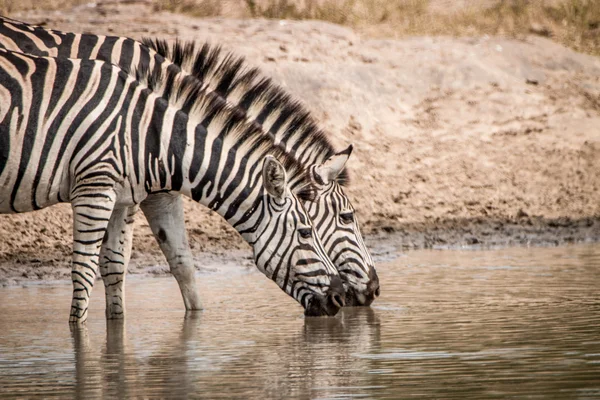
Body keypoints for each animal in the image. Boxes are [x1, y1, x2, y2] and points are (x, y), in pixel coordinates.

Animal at [0, 14, 380, 306]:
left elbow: (178, 261)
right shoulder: (127, 182)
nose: (375, 289)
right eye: (347, 217)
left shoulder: (151, 186)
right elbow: (119, 263)